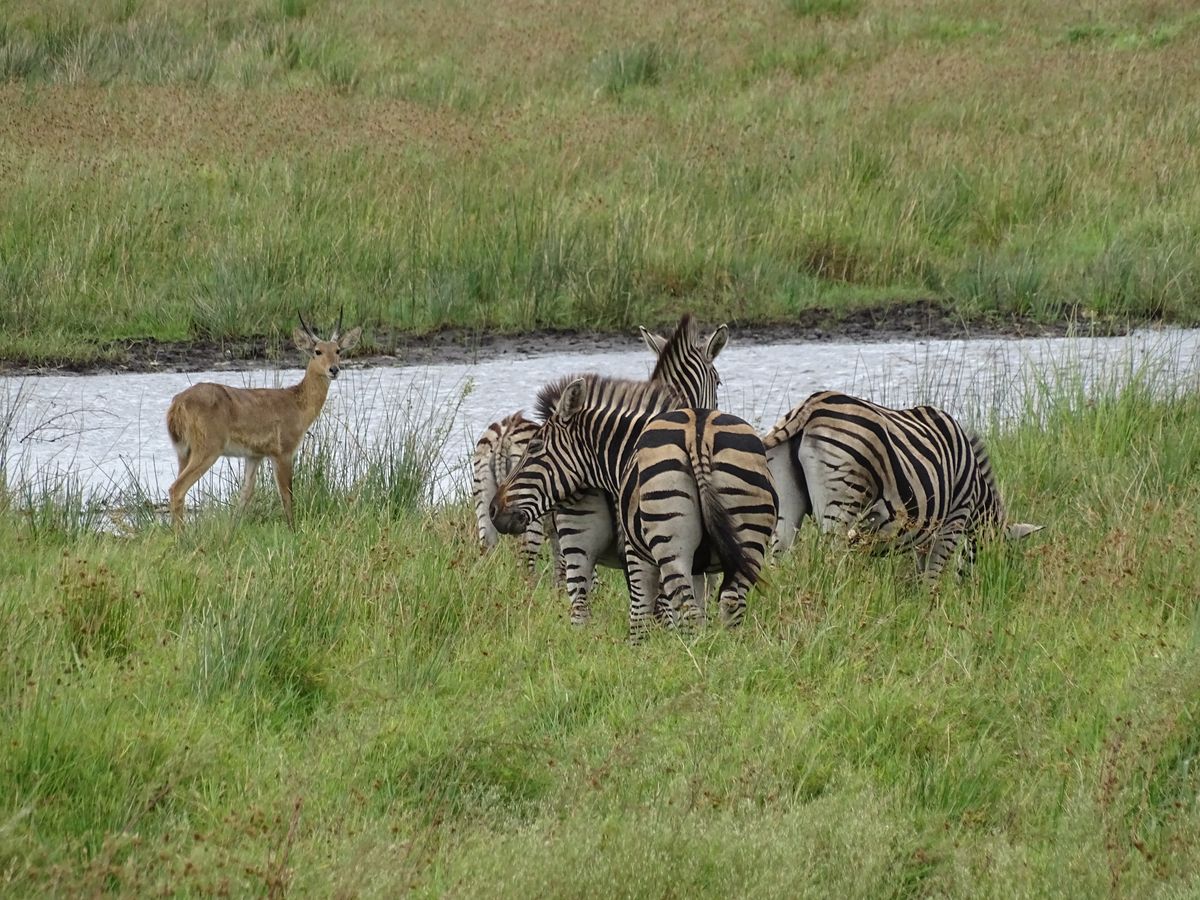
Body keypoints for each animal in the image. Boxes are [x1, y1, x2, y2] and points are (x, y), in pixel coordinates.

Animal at [490, 375, 777, 643]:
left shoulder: (636, 551)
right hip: (748, 534)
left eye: (534, 447)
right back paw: (723, 650)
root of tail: (698, 431)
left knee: (684, 608)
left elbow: (641, 612)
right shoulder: (701, 568)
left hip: (667, 545)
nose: (494, 510)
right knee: (730, 601)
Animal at [762, 390, 1041, 577]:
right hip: (841, 505)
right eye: (1005, 555)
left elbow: (920, 573)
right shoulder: (952, 521)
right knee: (830, 558)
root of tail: (810, 406)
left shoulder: (928, 529)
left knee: (779, 558)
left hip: (788, 503)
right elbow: (932, 576)